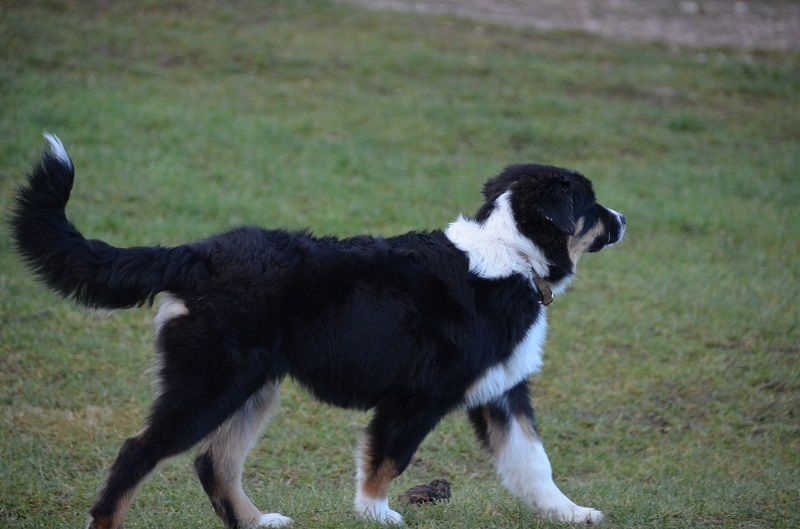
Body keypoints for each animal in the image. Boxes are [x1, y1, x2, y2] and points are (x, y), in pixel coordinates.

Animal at [10, 136, 624, 528]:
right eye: (591, 203)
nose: (622, 219)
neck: (511, 256)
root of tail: (194, 254)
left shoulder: (503, 392)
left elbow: (533, 464)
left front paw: (572, 513)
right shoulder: (416, 398)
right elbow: (387, 461)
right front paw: (376, 514)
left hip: (253, 388)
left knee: (214, 463)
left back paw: (258, 521)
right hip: (210, 385)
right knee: (138, 452)